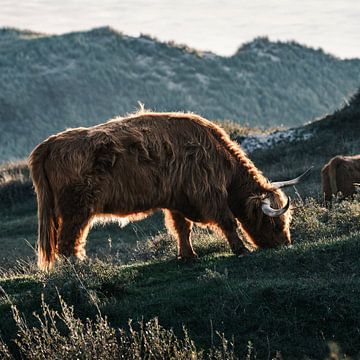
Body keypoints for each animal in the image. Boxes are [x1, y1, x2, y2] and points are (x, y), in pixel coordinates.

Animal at [28, 111, 310, 268]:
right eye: (275, 222)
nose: (284, 244)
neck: (223, 162)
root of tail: (49, 143)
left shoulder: (177, 200)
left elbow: (181, 228)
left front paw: (187, 255)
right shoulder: (209, 194)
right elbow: (228, 221)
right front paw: (241, 250)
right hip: (76, 209)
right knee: (68, 242)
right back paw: (78, 268)